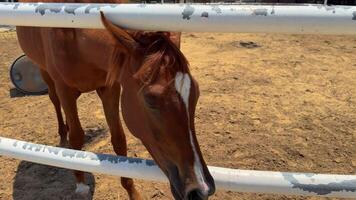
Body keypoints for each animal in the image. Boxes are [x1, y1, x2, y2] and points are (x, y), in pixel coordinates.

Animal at [15, 0, 216, 198]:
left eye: (196, 93)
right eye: (150, 99)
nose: (202, 189)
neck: (73, 34)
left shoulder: (109, 88)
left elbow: (119, 139)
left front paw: (133, 192)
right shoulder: (64, 88)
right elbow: (77, 136)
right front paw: (81, 184)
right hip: (45, 73)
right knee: (55, 102)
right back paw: (63, 136)